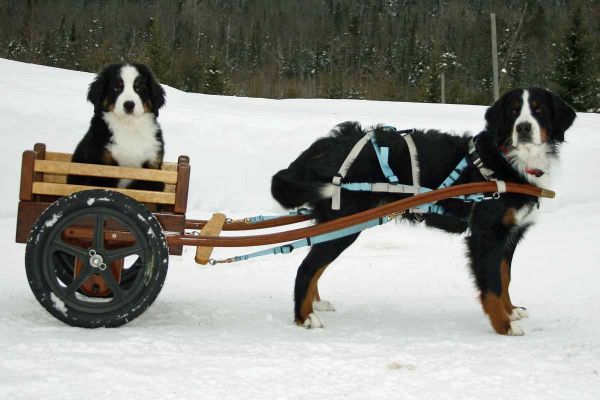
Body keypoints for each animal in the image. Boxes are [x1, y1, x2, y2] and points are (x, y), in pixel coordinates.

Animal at [67, 62, 166, 191]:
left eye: (139, 88)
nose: (129, 105)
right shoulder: (101, 166)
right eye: (116, 88)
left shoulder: (152, 166)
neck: (129, 127)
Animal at [272, 89, 576, 336]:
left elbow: (504, 277)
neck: (507, 162)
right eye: (513, 111)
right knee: (306, 268)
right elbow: (491, 285)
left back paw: (315, 304)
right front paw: (503, 324)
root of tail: (325, 144)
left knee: (315, 266)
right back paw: (304, 317)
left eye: (538, 109)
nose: (523, 128)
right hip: (344, 224)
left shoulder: (511, 234)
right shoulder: (486, 234)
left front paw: (511, 311)